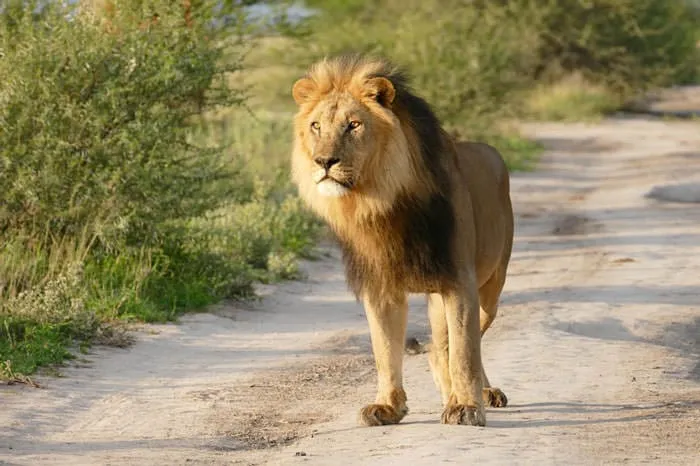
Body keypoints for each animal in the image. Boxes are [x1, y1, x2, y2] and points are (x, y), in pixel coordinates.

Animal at [291, 54, 514, 427]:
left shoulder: (459, 280)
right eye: (316, 126)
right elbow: (384, 350)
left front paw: (467, 408)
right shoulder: (379, 287)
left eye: (353, 125)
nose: (324, 161)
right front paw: (388, 406)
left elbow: (465, 352)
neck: (380, 203)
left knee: (462, 344)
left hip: (490, 289)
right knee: (438, 350)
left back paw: (479, 393)